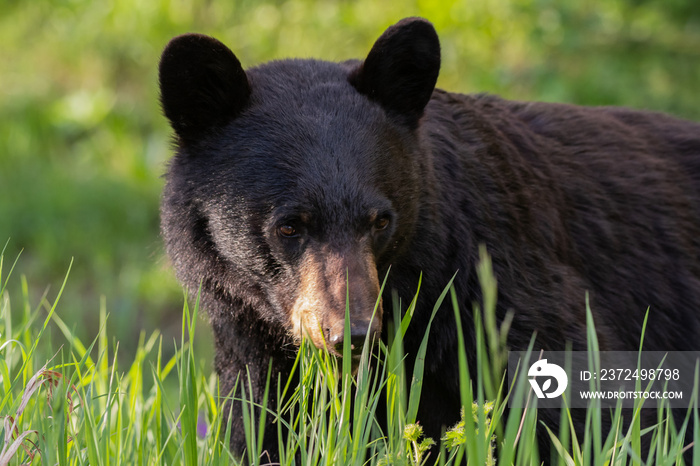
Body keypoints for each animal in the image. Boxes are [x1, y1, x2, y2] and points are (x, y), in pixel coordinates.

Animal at [159, 16, 700, 460]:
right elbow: (265, 428)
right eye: (289, 225)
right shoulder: (252, 339)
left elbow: (589, 415)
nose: (352, 334)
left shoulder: (501, 291)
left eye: (380, 221)